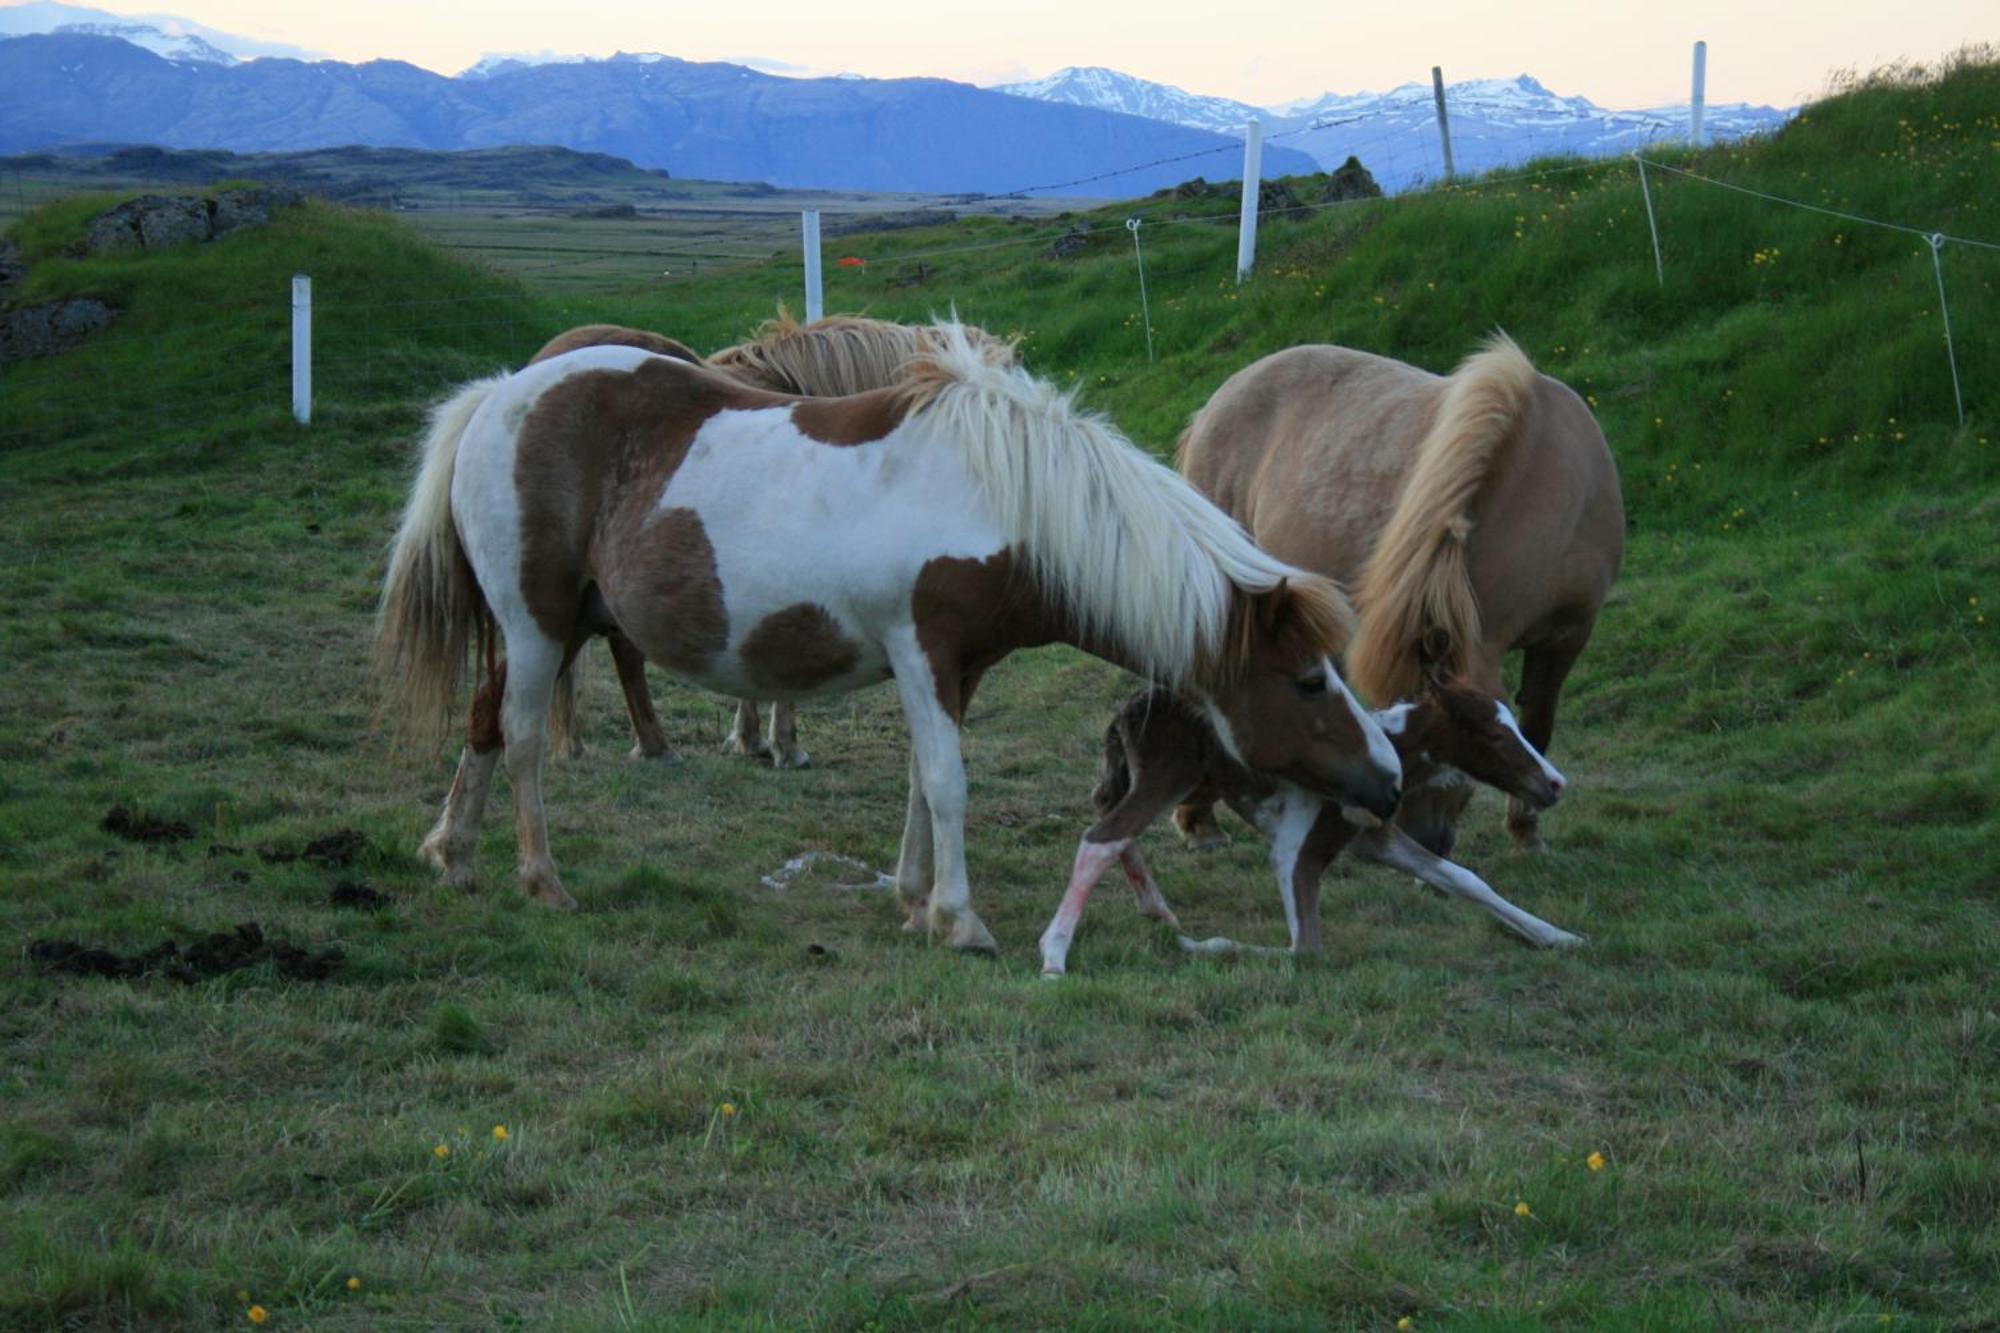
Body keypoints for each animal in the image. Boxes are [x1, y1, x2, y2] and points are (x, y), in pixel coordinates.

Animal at [1040, 676, 1584, 976]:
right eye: (1494, 735)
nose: (1555, 783)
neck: (1390, 755)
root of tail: (1130, 705)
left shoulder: (1375, 838)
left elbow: (1463, 878)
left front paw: (1558, 936)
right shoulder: (1294, 850)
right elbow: (1306, 951)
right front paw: (1199, 945)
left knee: (1114, 830)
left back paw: (1157, 911)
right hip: (1168, 776)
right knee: (1102, 838)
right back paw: (1055, 956)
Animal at [1168, 332, 1624, 852]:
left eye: (1474, 738)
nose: (1423, 837)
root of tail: (1217, 403)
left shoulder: (1569, 635)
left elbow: (1539, 726)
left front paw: (1526, 831)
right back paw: (1199, 820)